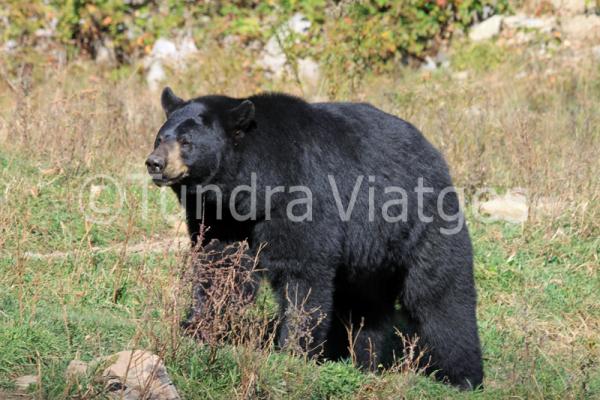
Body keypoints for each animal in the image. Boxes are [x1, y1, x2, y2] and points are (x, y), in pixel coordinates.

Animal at [148, 86, 486, 388]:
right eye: (161, 137)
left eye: (186, 141)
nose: (155, 162)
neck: (251, 191)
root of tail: (432, 150)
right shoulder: (223, 219)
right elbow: (220, 269)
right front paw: (196, 328)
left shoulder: (302, 197)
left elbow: (303, 275)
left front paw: (292, 351)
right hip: (368, 253)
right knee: (366, 304)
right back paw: (362, 359)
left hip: (419, 221)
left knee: (438, 293)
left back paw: (462, 376)